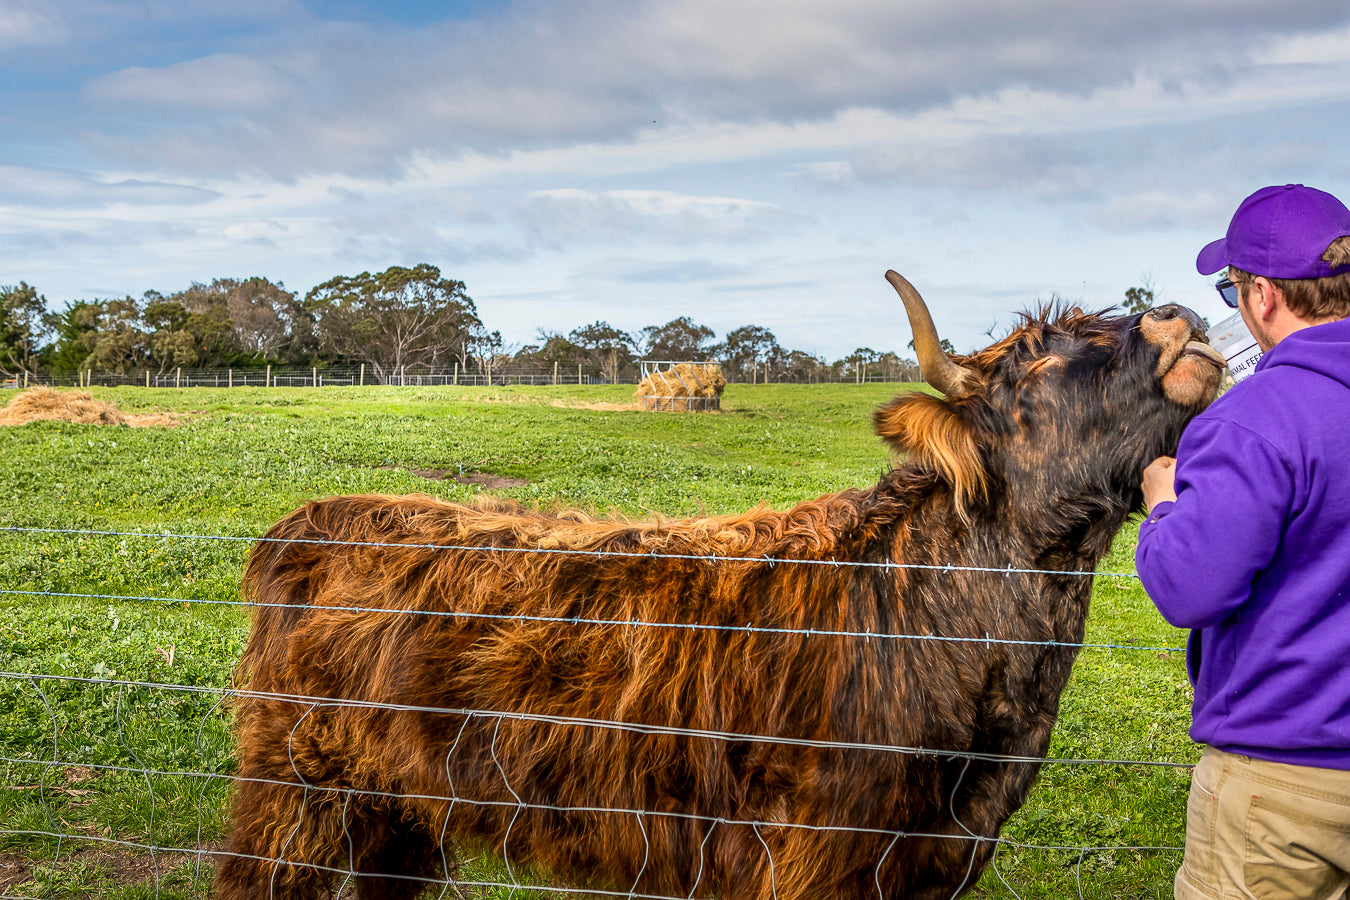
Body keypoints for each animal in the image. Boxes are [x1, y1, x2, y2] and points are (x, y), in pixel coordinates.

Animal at [214, 270, 1224, 900]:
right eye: (1034, 362)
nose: (1178, 315)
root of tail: (309, 519)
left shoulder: (941, 856)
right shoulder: (813, 860)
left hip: (398, 805)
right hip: (294, 792)